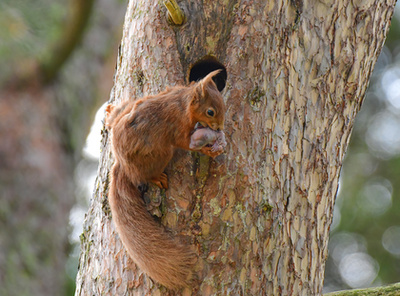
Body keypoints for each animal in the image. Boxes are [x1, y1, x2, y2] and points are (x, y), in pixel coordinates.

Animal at [104, 70, 227, 290]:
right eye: (210, 112)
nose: (220, 127)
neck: (182, 104)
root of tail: (122, 166)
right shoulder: (177, 126)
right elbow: (185, 143)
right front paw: (208, 150)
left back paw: (111, 113)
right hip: (161, 154)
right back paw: (157, 178)